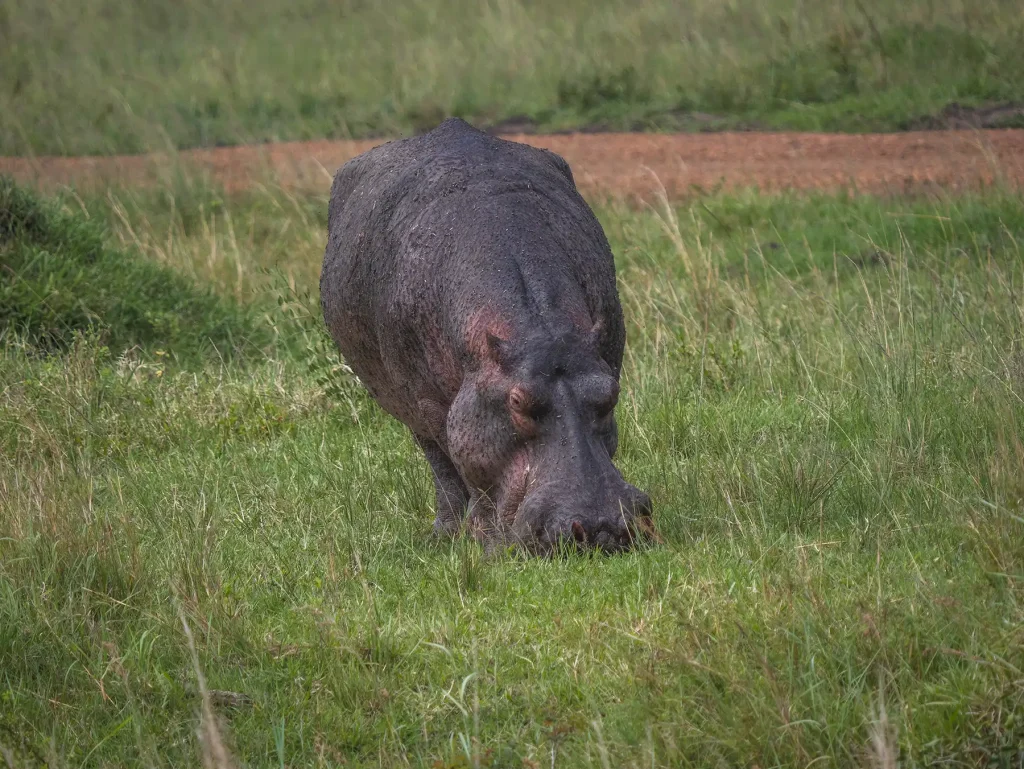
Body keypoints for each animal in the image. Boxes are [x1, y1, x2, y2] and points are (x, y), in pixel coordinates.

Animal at [321, 118, 655, 552]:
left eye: (609, 395)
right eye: (516, 402)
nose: (600, 526)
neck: (538, 331)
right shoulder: (433, 406)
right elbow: (462, 470)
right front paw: (486, 545)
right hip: (410, 406)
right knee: (441, 466)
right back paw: (446, 534)